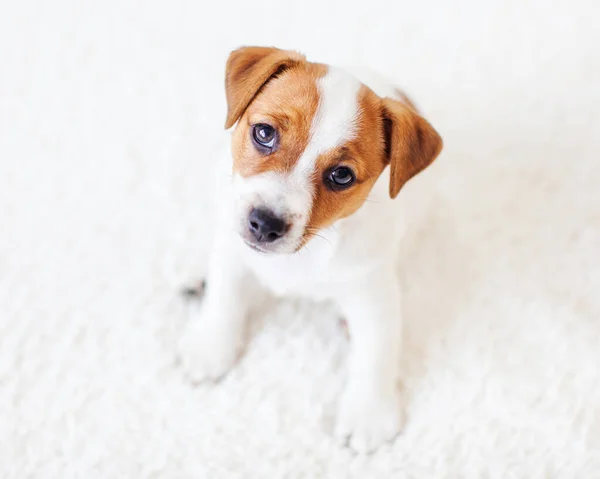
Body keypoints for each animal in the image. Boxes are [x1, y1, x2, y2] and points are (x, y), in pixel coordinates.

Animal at [178, 46, 440, 454]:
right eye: (264, 133)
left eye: (341, 175)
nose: (265, 223)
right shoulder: (233, 253)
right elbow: (224, 299)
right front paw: (211, 346)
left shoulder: (373, 294)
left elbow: (377, 351)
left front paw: (368, 412)